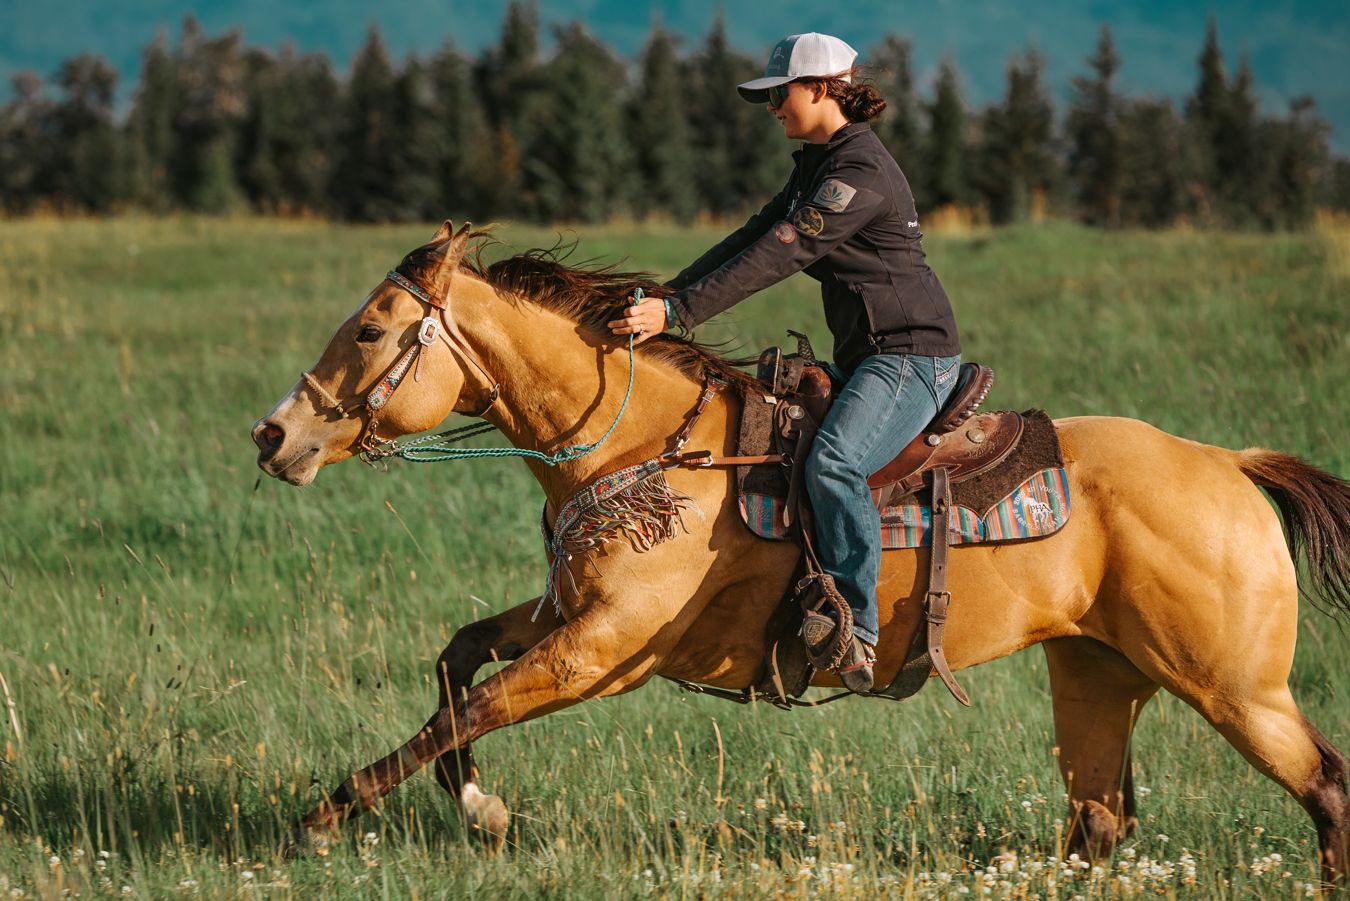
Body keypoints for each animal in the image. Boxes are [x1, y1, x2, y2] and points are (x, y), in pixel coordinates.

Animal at [252, 221, 1350, 884]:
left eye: (374, 328)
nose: (273, 433)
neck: (647, 444)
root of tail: (1229, 463)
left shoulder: (602, 652)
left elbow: (463, 708)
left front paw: (328, 819)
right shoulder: (568, 617)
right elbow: (456, 659)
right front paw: (479, 808)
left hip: (1236, 688)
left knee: (1323, 782)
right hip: (1096, 673)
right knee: (1098, 823)